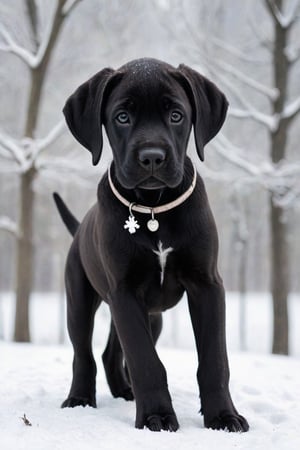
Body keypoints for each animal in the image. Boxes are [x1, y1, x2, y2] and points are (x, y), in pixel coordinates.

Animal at [55, 57, 250, 432]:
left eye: (176, 115)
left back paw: (124, 391)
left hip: (151, 315)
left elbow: (214, 360)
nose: (152, 158)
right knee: (84, 354)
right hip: (81, 300)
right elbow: (145, 360)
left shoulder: (206, 284)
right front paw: (156, 415)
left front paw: (223, 415)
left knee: (111, 351)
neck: (154, 209)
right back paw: (80, 398)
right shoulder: (124, 291)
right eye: (122, 117)